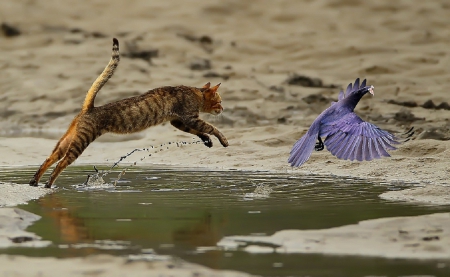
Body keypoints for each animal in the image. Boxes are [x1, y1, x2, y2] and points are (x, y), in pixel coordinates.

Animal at [29, 38, 229, 188]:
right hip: (81, 141)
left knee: (49, 158)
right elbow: (211, 127)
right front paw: (223, 140)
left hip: (67, 140)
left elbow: (199, 131)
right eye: (219, 101)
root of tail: (89, 108)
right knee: (61, 163)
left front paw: (207, 140)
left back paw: (34, 182)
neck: (196, 93)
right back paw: (48, 184)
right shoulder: (189, 117)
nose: (223, 108)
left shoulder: (178, 121)